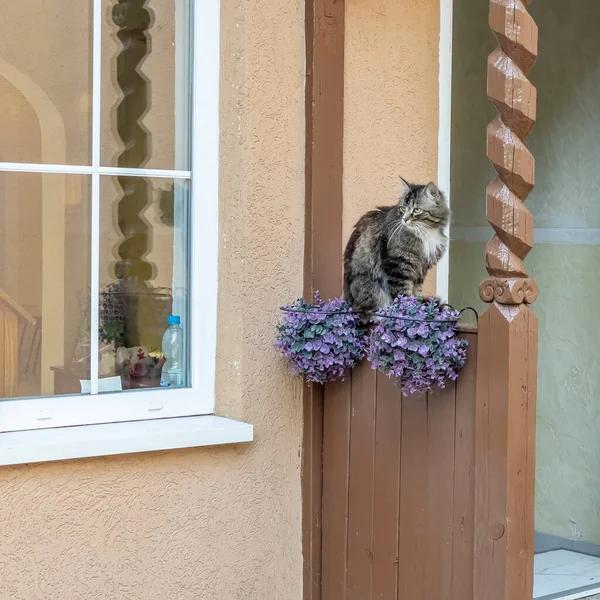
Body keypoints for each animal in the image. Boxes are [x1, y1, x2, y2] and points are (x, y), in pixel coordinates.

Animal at [342, 177, 450, 318]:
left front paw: (419, 310)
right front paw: (408, 313)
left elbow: (417, 293)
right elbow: (403, 295)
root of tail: (348, 303)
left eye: (416, 210)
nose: (405, 219)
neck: (426, 232)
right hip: (370, 287)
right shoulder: (398, 266)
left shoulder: (420, 270)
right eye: (403, 209)